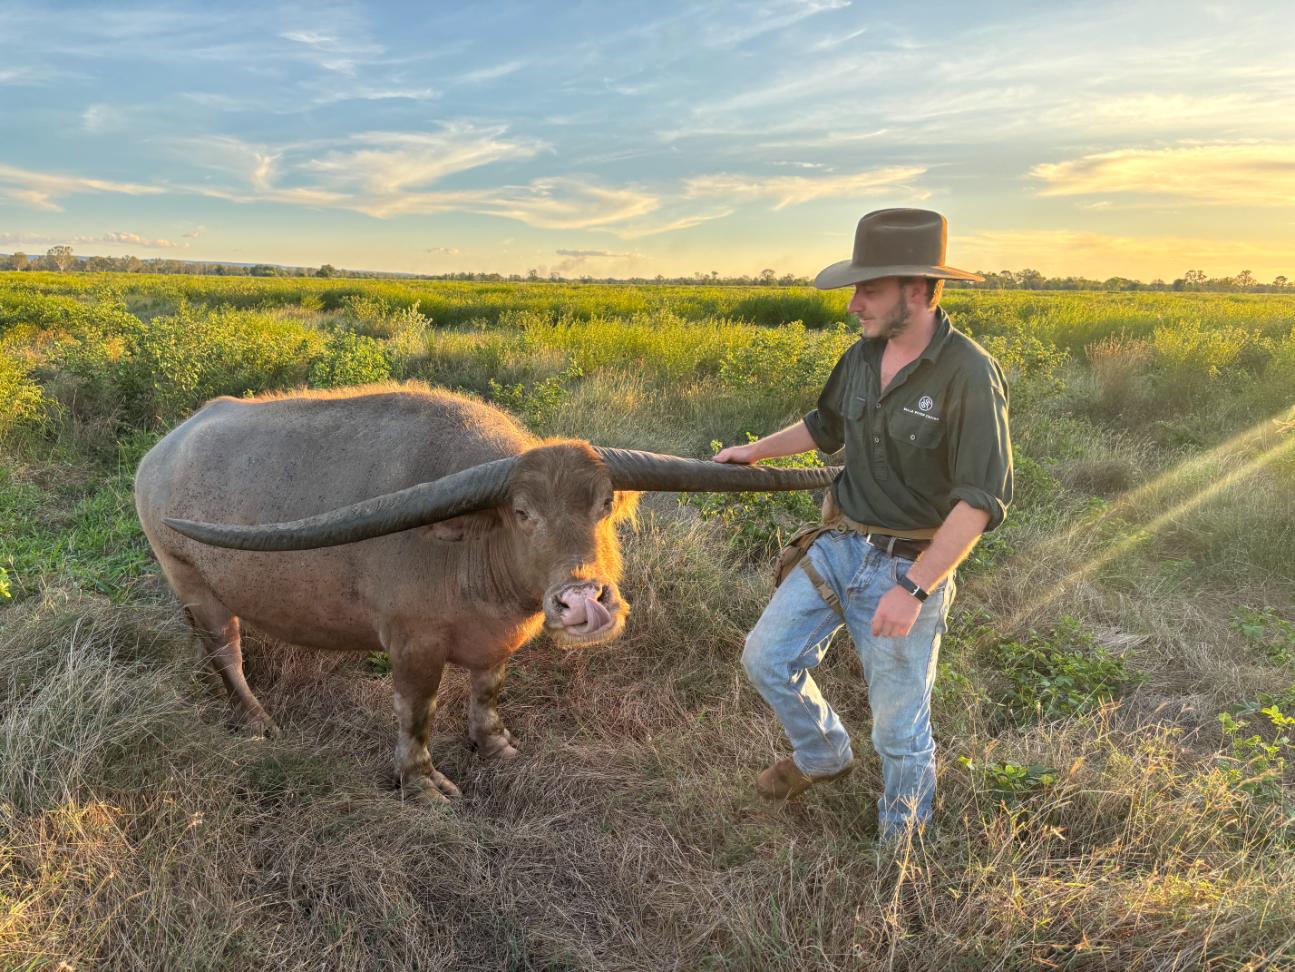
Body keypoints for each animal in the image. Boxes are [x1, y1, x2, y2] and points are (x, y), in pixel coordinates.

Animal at [134, 383, 839, 802]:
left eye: (603, 503)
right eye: (522, 512)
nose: (584, 602)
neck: (471, 552)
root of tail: (159, 453)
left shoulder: (497, 641)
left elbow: (488, 691)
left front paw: (493, 744)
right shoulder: (412, 646)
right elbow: (416, 715)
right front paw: (421, 782)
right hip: (190, 581)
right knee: (226, 654)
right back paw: (256, 718)